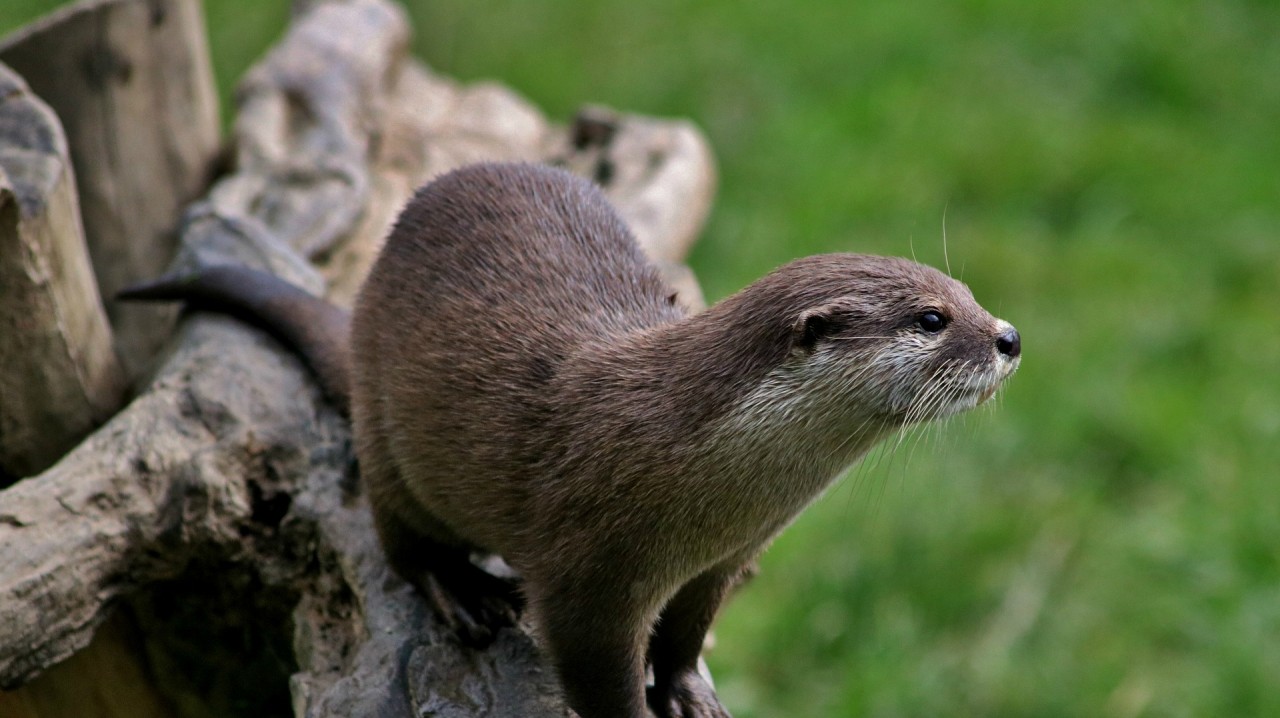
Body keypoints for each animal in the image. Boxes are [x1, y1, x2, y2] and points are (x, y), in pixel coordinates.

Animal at [120, 162, 1018, 716]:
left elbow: (685, 636)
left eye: (968, 292)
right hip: (386, 432)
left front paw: (689, 692)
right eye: (932, 319)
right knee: (398, 542)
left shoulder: (723, 560)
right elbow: (599, 677)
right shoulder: (589, 575)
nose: (1009, 337)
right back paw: (462, 593)